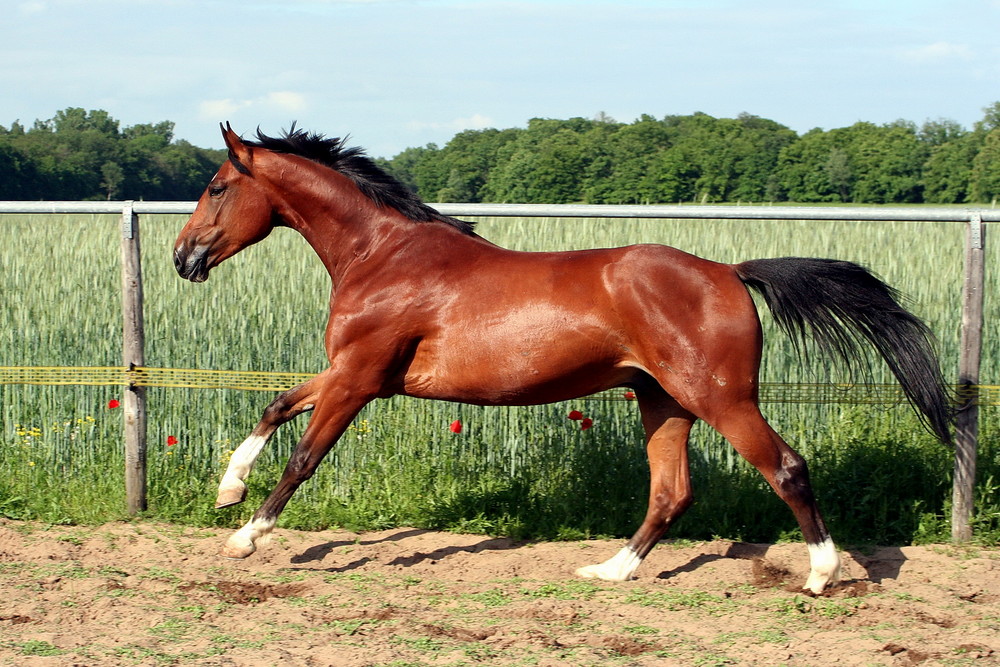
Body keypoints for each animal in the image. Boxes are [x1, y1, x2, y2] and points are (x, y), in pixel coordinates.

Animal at [174, 124, 952, 596]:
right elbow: (276, 405)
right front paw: (227, 490)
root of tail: (730, 272)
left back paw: (820, 575)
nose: (183, 257)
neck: (382, 256)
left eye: (216, 187)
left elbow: (304, 457)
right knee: (671, 492)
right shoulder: (351, 375)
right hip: (663, 400)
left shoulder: (359, 379)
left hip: (720, 398)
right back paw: (609, 569)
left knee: (786, 467)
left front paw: (245, 537)